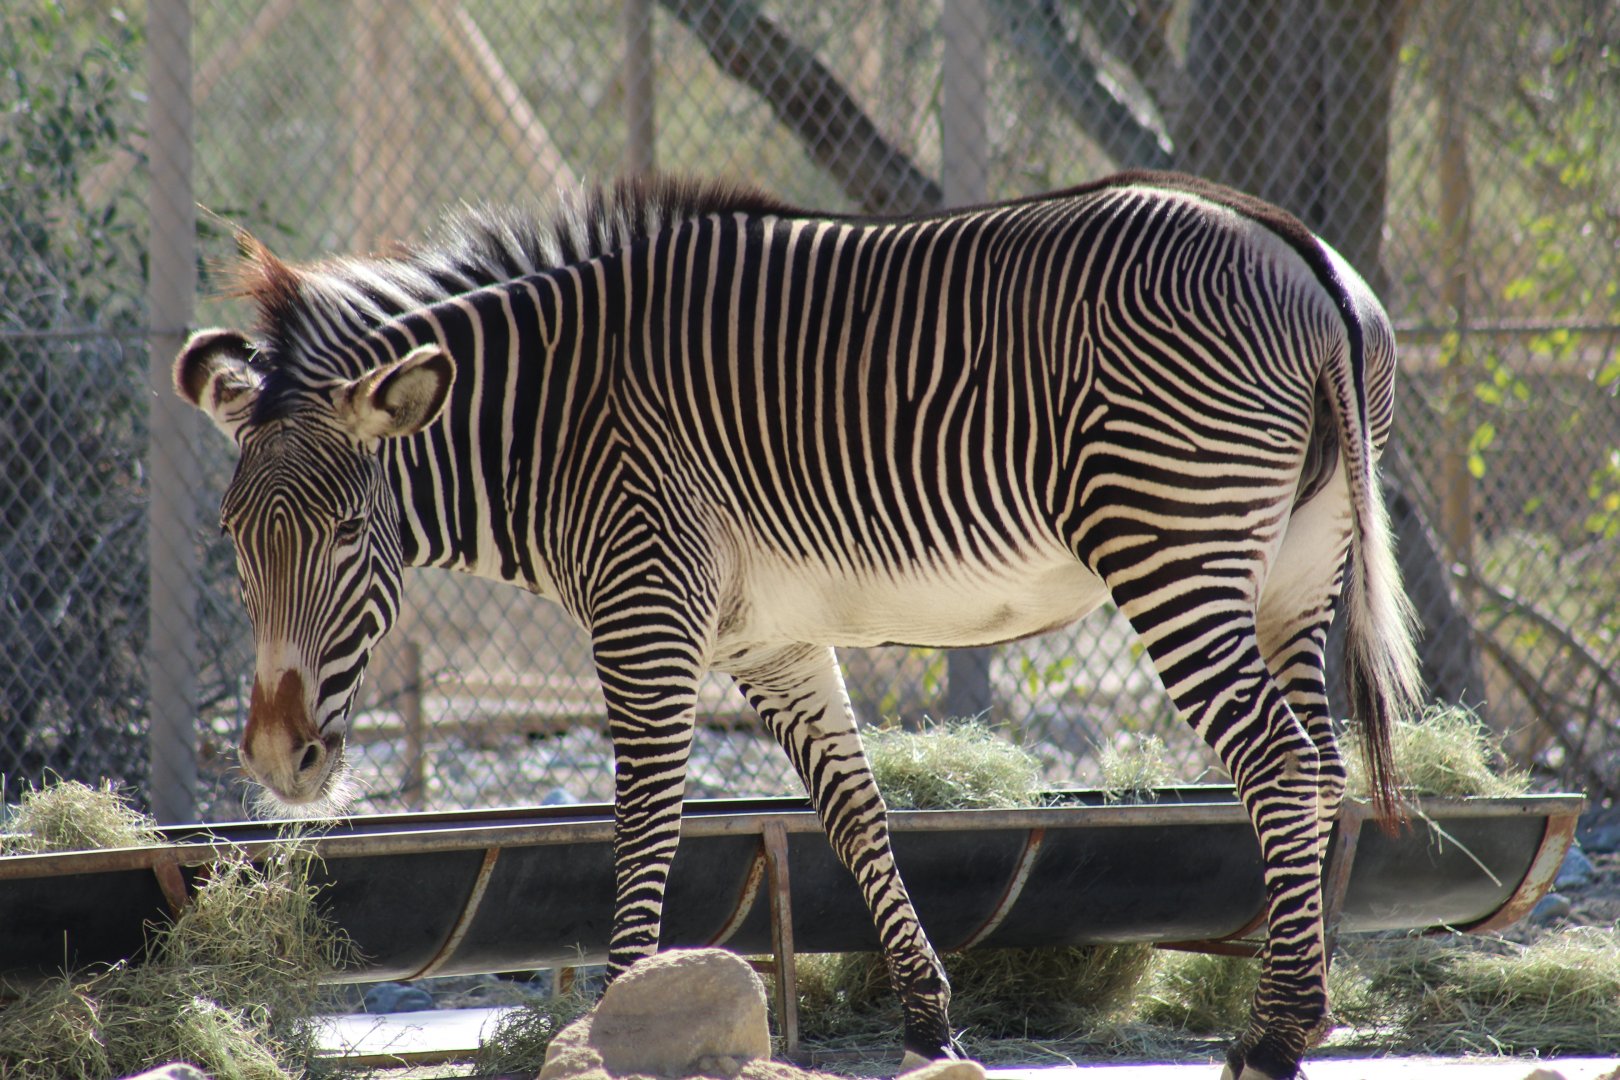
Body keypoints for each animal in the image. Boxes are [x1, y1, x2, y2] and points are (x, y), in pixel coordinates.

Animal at [173, 171, 1419, 1080]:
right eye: (234, 538)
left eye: (348, 535)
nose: (278, 757)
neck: (553, 421)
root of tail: (1291, 246)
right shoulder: (765, 639)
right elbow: (854, 814)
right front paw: (929, 1025)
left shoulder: (645, 610)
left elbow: (645, 827)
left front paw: (611, 1023)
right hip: (1295, 569)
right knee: (1320, 764)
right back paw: (1300, 1011)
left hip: (1171, 539)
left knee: (1280, 765)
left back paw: (1273, 1035)